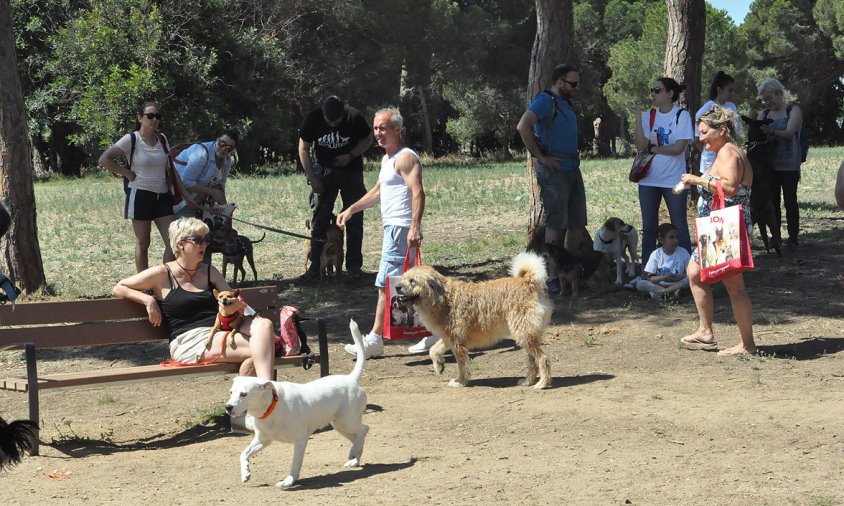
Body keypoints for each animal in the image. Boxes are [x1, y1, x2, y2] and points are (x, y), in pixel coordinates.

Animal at [224, 318, 370, 488]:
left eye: (244, 394)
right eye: (231, 392)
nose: (228, 407)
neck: (271, 408)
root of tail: (351, 378)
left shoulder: (300, 440)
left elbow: (295, 463)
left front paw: (289, 481)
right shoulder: (262, 440)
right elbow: (243, 454)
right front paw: (246, 472)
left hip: (347, 421)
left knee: (364, 430)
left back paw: (354, 454)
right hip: (339, 425)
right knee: (357, 438)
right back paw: (354, 458)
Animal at [396, 252, 552, 388]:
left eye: (413, 281)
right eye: (403, 278)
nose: (397, 287)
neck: (443, 298)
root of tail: (528, 282)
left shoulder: (458, 343)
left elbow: (462, 366)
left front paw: (460, 382)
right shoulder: (448, 338)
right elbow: (433, 350)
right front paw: (439, 366)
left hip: (524, 334)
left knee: (543, 359)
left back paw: (542, 384)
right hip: (525, 336)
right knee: (533, 361)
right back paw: (528, 381)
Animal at [740, 116, 780, 255]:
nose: (769, 118)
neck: (755, 143)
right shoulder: (770, 154)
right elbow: (774, 144)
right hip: (771, 217)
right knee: (775, 236)